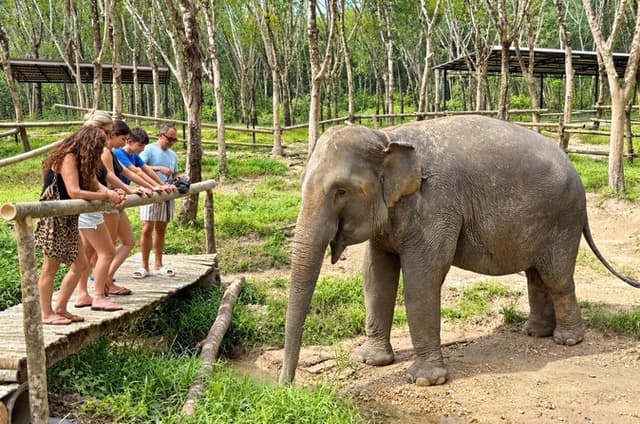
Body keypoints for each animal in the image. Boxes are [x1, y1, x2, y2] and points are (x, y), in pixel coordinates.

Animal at [279, 115, 639, 387]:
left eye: (340, 191)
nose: (287, 387)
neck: (389, 136)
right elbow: (375, 276)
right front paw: (372, 361)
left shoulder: (436, 205)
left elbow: (422, 278)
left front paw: (425, 381)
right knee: (536, 275)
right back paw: (534, 333)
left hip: (564, 220)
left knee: (556, 277)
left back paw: (567, 341)